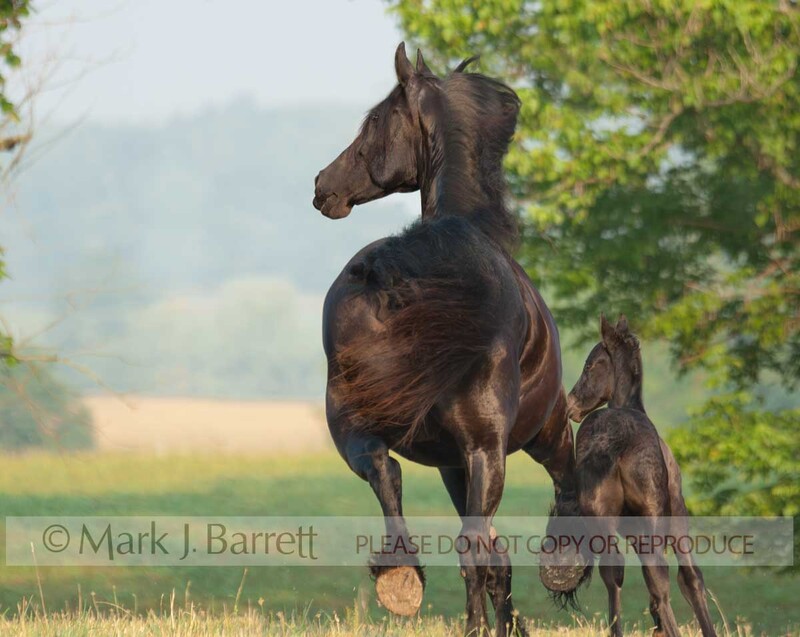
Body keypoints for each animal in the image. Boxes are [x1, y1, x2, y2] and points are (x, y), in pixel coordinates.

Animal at [312, 43, 579, 636]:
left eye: (375, 121)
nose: (322, 185)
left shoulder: (454, 462)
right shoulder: (501, 448)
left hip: (391, 429)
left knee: (394, 477)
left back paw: (406, 579)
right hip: (499, 445)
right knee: (477, 538)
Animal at [564, 314, 717, 637]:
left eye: (589, 365)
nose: (571, 405)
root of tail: (612, 443)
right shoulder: (677, 512)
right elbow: (691, 577)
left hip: (600, 517)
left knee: (614, 571)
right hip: (654, 513)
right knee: (659, 574)